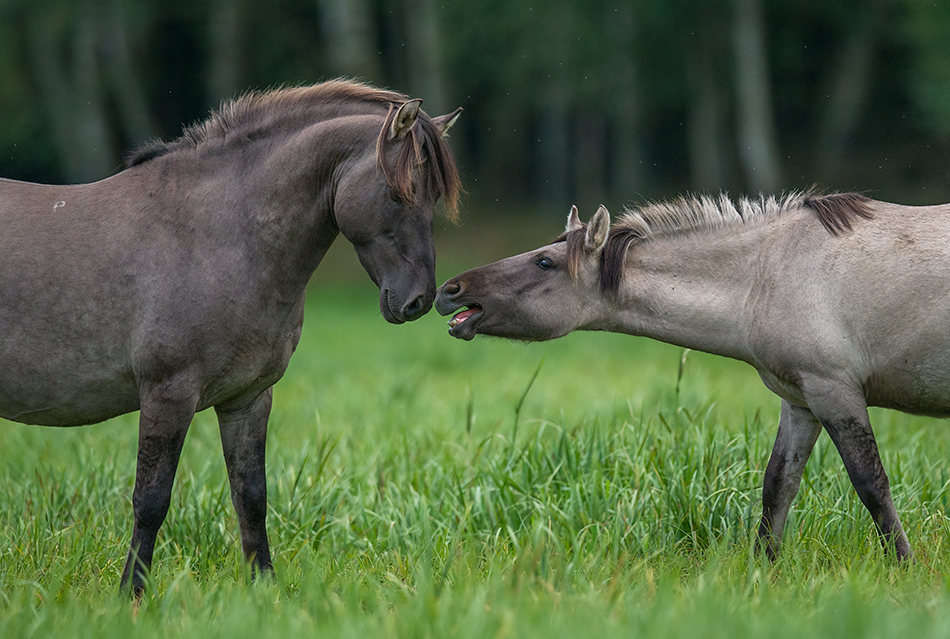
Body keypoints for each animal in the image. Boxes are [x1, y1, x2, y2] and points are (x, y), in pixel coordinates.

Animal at [0, 80, 462, 596]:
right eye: (401, 193)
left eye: (431, 197)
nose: (419, 300)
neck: (216, 235)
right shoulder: (167, 395)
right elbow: (151, 500)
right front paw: (131, 595)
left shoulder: (247, 398)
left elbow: (251, 495)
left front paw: (264, 588)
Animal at [438, 192, 950, 564]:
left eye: (544, 262)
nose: (450, 291)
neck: (768, 272)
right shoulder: (802, 402)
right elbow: (778, 486)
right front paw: (762, 569)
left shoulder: (835, 393)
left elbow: (871, 485)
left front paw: (904, 565)